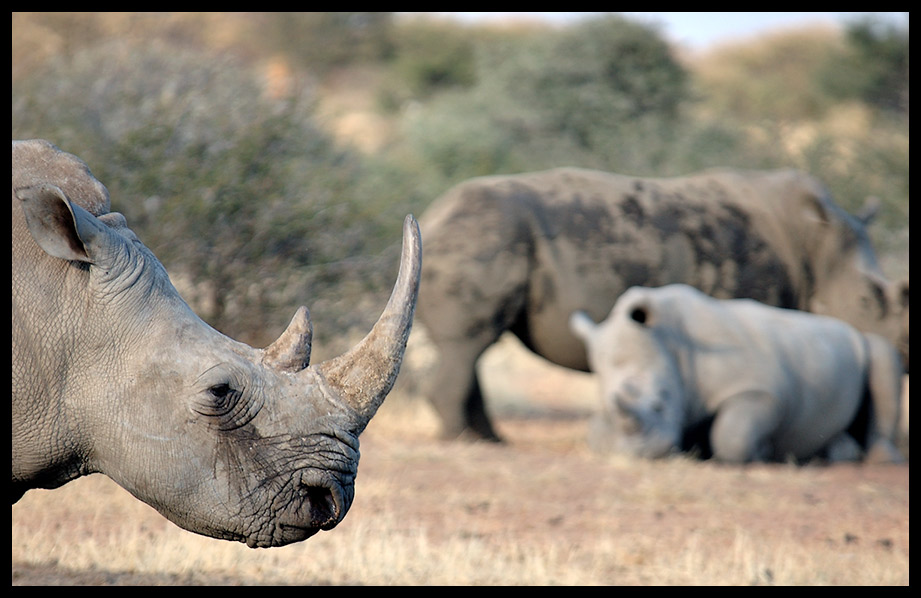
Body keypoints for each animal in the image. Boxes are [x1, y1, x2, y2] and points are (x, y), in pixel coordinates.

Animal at [420, 166, 908, 442]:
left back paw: (488, 438)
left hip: (477, 238)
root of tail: (431, 215)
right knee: (468, 345)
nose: (902, 358)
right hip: (482, 237)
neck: (813, 245)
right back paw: (465, 441)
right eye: (868, 300)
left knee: (470, 350)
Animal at [572, 284, 904, 464]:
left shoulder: (762, 390)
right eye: (604, 405)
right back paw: (838, 452)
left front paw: (763, 451)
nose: (639, 453)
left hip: (861, 341)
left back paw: (877, 458)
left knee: (883, 352)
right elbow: (592, 432)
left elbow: (733, 435)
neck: (672, 346)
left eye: (660, 404)